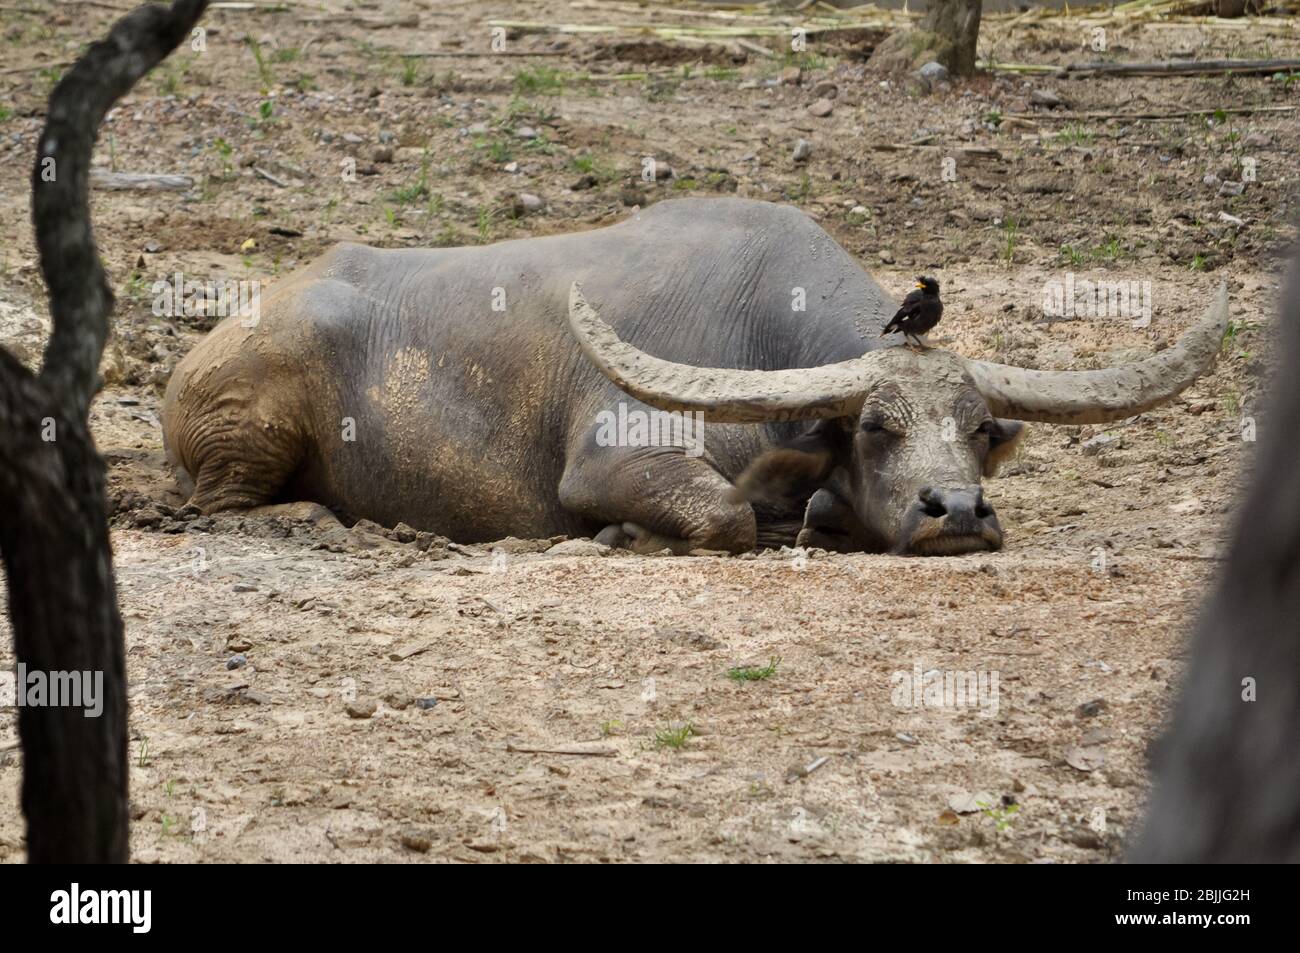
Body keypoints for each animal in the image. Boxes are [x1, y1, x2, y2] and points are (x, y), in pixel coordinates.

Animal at [165, 200, 1227, 556]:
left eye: (975, 429)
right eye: (875, 426)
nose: (957, 512)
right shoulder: (608, 461)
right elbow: (720, 512)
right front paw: (629, 535)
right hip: (245, 435)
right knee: (220, 503)